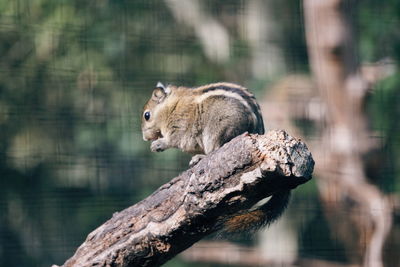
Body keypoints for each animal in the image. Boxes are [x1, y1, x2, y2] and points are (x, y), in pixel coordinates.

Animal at [142, 82, 290, 233]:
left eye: (147, 115)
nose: (145, 138)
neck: (173, 106)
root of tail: (259, 132)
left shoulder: (179, 127)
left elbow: (173, 140)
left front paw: (158, 144)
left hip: (218, 130)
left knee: (216, 149)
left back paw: (200, 157)